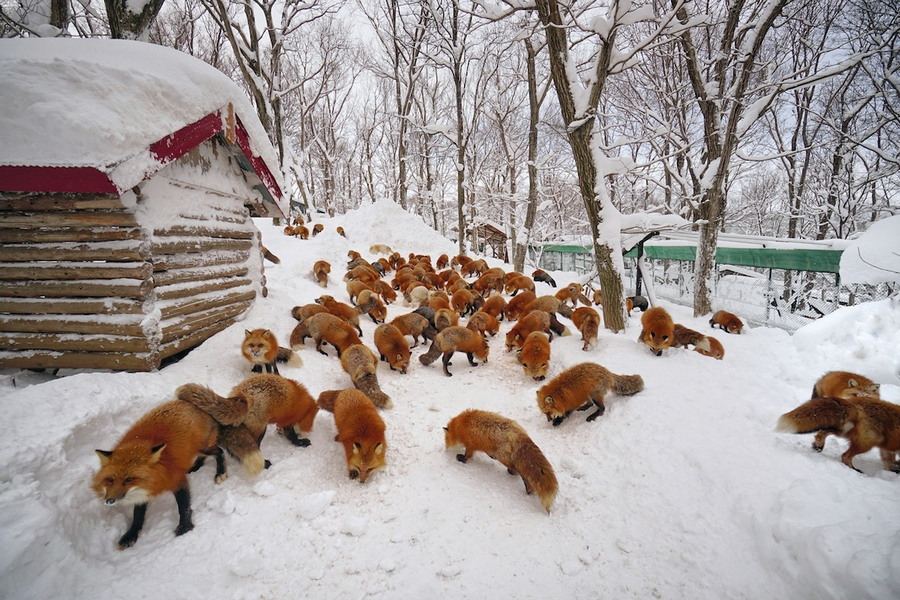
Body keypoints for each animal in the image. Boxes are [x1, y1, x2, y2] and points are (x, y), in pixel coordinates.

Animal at [92, 396, 248, 552]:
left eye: (130, 479)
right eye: (110, 480)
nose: (109, 501)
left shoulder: (178, 480)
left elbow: (184, 507)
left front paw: (185, 527)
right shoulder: (143, 491)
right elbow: (138, 516)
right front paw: (131, 535)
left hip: (203, 447)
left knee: (219, 452)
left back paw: (220, 472)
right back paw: (196, 466)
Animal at [176, 376, 316, 474]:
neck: (299, 399)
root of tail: (242, 397)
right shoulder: (287, 421)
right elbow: (291, 436)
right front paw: (300, 442)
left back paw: (196, 466)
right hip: (260, 429)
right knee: (251, 448)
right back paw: (264, 464)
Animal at [772, 398, 900, 474]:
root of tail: (855, 403)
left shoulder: (888, 449)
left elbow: (889, 463)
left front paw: (893, 471)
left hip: (844, 429)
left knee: (823, 432)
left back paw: (818, 445)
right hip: (866, 443)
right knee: (845, 456)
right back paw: (854, 470)